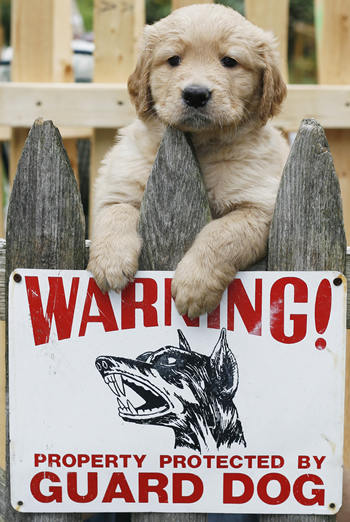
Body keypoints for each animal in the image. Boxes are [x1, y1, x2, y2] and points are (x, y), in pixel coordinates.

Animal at [87, 4, 290, 316]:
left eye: (229, 61)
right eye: (173, 60)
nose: (196, 94)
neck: (201, 147)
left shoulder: (260, 207)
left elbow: (221, 235)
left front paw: (195, 283)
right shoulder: (118, 186)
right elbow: (115, 212)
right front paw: (111, 260)